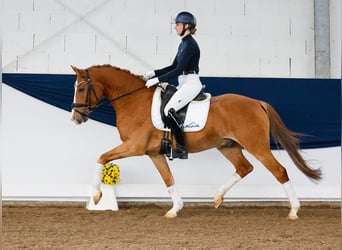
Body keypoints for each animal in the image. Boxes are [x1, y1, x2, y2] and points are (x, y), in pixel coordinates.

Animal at [71, 64, 322, 219]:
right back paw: (218, 197)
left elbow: (102, 157)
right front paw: (175, 209)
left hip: (257, 146)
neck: (133, 100)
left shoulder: (134, 146)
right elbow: (168, 179)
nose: (75, 118)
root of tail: (257, 102)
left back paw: (294, 211)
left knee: (279, 171)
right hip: (227, 146)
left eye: (81, 88)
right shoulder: (154, 153)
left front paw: (97, 196)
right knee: (244, 167)